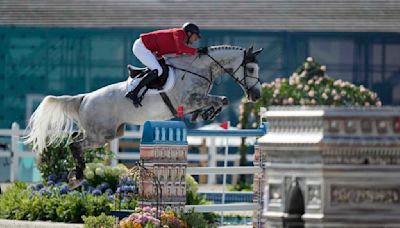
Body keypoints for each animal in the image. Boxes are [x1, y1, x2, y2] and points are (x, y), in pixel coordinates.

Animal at [24, 45, 262, 185]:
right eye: (250, 69)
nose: (257, 95)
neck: (200, 68)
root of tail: (84, 98)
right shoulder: (189, 100)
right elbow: (221, 99)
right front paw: (209, 111)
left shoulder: (195, 100)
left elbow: (221, 100)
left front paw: (206, 113)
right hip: (101, 135)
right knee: (75, 143)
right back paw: (80, 173)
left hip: (111, 133)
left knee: (75, 139)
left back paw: (77, 174)